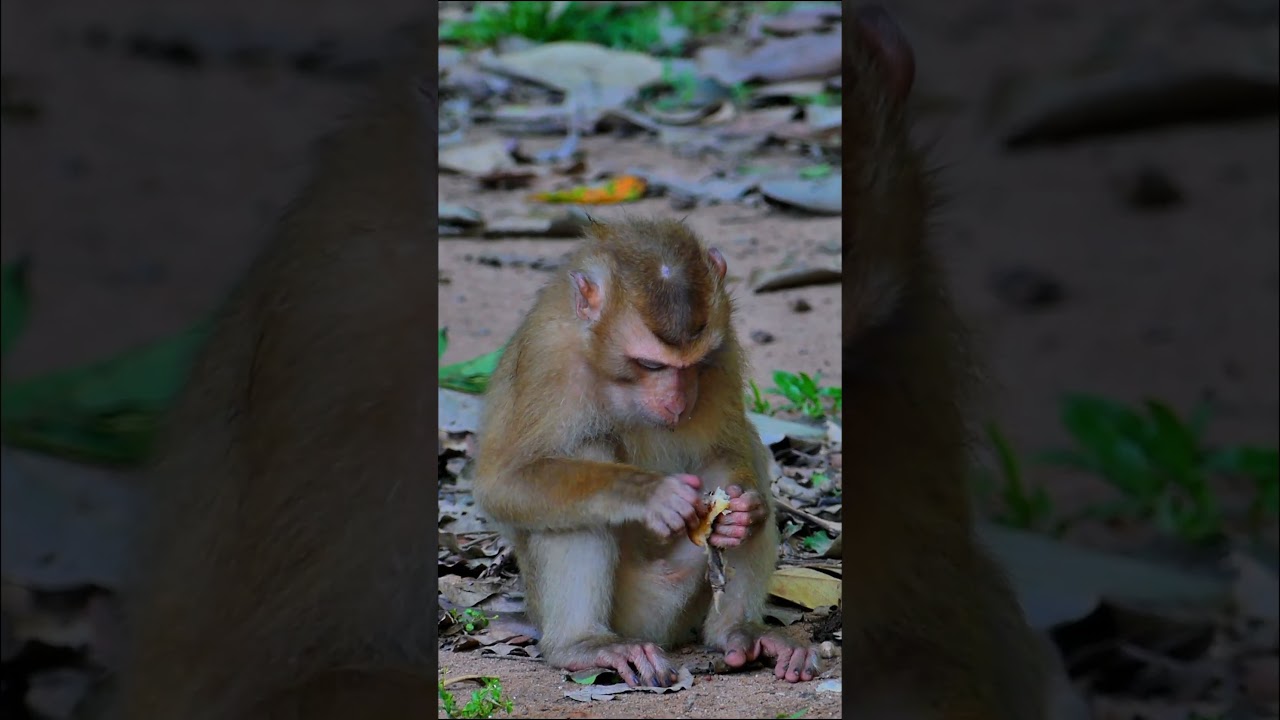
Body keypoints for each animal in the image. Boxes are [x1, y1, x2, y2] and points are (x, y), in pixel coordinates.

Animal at [471, 217, 821, 688]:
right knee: (585, 458)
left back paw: (739, 632)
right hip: (629, 606)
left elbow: (726, 446)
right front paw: (654, 495)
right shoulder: (549, 358)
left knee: (746, 442)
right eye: (651, 364)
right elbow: (503, 483)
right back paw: (583, 645)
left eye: (693, 365)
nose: (676, 402)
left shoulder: (723, 346)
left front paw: (744, 511)